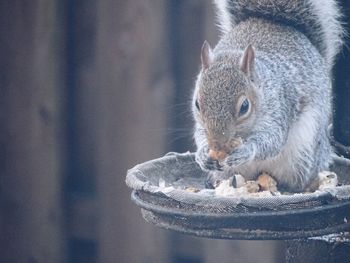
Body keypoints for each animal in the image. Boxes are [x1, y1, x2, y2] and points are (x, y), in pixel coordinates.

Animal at [194, 0, 344, 192]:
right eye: (197, 104)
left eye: (244, 107)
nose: (217, 145)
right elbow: (199, 133)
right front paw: (202, 154)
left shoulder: (279, 106)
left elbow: (272, 140)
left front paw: (246, 151)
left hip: (302, 157)